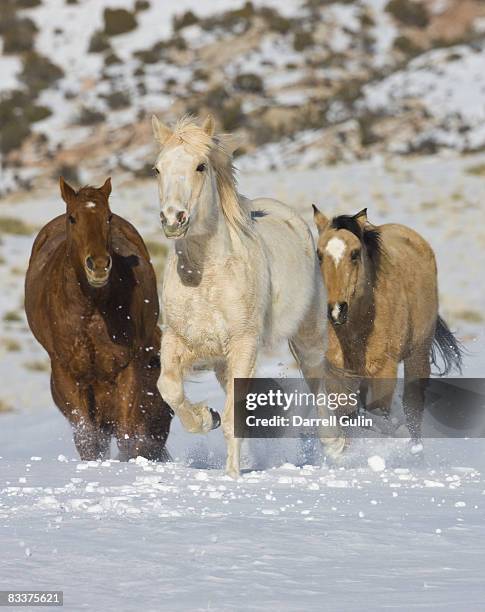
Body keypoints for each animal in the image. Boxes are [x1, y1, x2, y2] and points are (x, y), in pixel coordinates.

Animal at [25, 176, 172, 460]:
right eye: (72, 218)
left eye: (108, 217)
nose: (100, 265)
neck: (92, 310)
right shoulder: (67, 373)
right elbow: (87, 439)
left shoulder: (128, 368)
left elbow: (127, 433)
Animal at [151, 115, 344, 478]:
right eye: (157, 168)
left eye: (200, 166)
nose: (172, 218)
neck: (205, 277)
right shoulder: (178, 341)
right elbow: (169, 389)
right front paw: (204, 418)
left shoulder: (244, 344)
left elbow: (231, 420)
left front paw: (232, 476)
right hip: (221, 362)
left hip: (307, 337)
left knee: (317, 380)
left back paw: (336, 445)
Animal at [310, 208, 462, 442]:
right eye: (319, 254)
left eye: (355, 254)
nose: (336, 310)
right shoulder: (337, 374)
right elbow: (347, 417)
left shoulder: (384, 371)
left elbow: (379, 416)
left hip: (417, 356)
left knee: (413, 408)